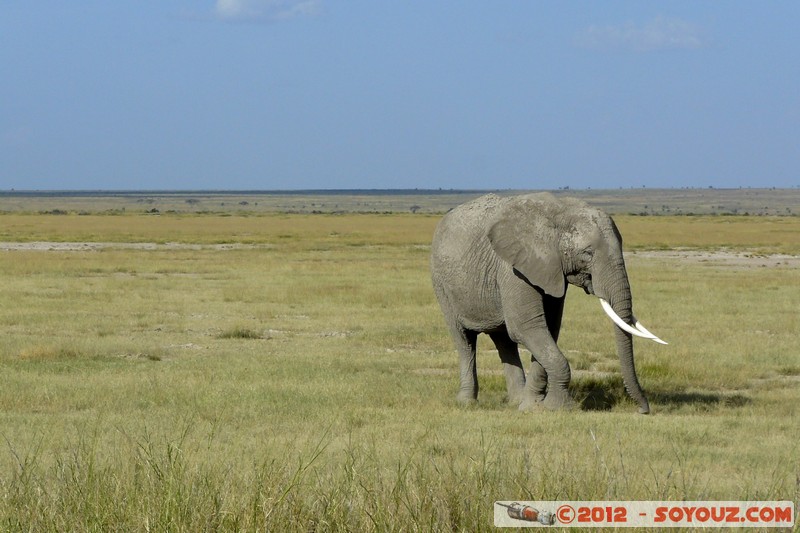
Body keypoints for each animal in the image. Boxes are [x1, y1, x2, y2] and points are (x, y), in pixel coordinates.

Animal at [434, 193, 664, 414]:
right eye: (587, 253)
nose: (643, 410)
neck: (561, 211)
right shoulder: (513, 269)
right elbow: (527, 327)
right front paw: (559, 408)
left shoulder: (551, 269)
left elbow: (549, 329)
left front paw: (533, 406)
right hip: (441, 283)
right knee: (464, 341)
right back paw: (466, 402)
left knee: (504, 341)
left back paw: (515, 401)